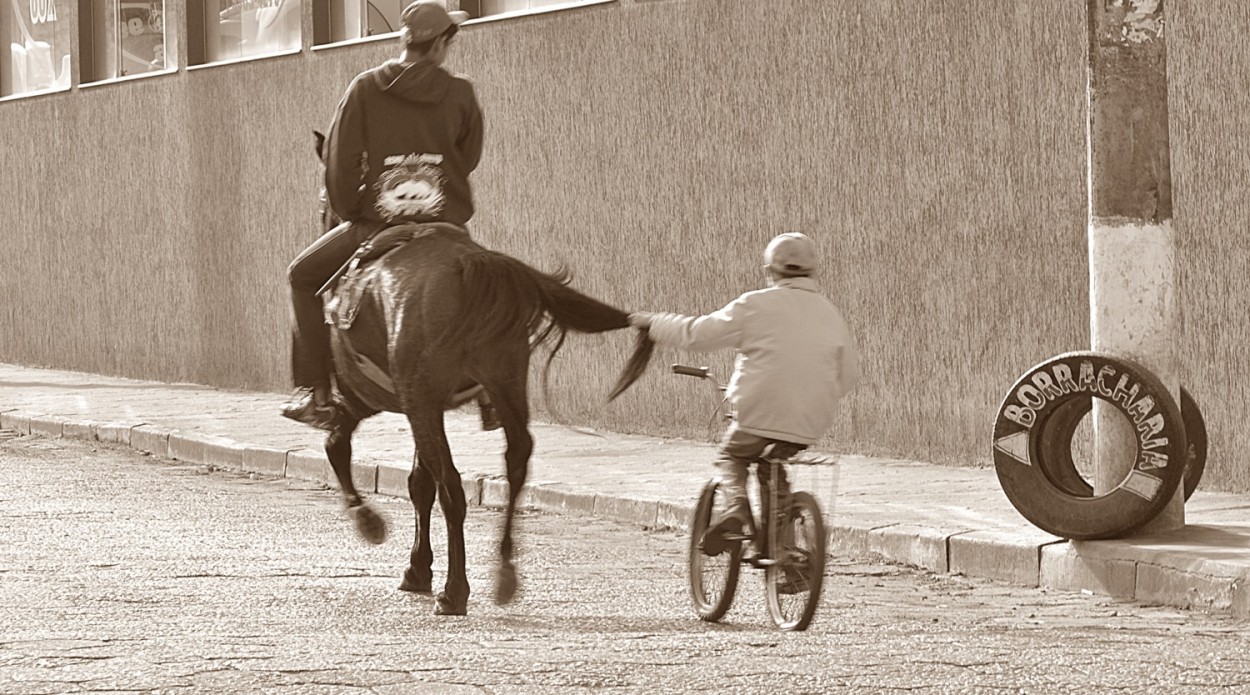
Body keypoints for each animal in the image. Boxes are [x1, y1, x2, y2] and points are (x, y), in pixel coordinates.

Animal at [308, 130, 655, 612]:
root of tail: (469, 263)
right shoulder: (420, 405)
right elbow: (418, 481)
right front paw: (417, 567)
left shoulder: (379, 399)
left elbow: (340, 447)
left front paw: (371, 523)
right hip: (504, 384)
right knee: (516, 462)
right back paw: (505, 570)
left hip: (423, 397)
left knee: (453, 486)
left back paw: (456, 589)